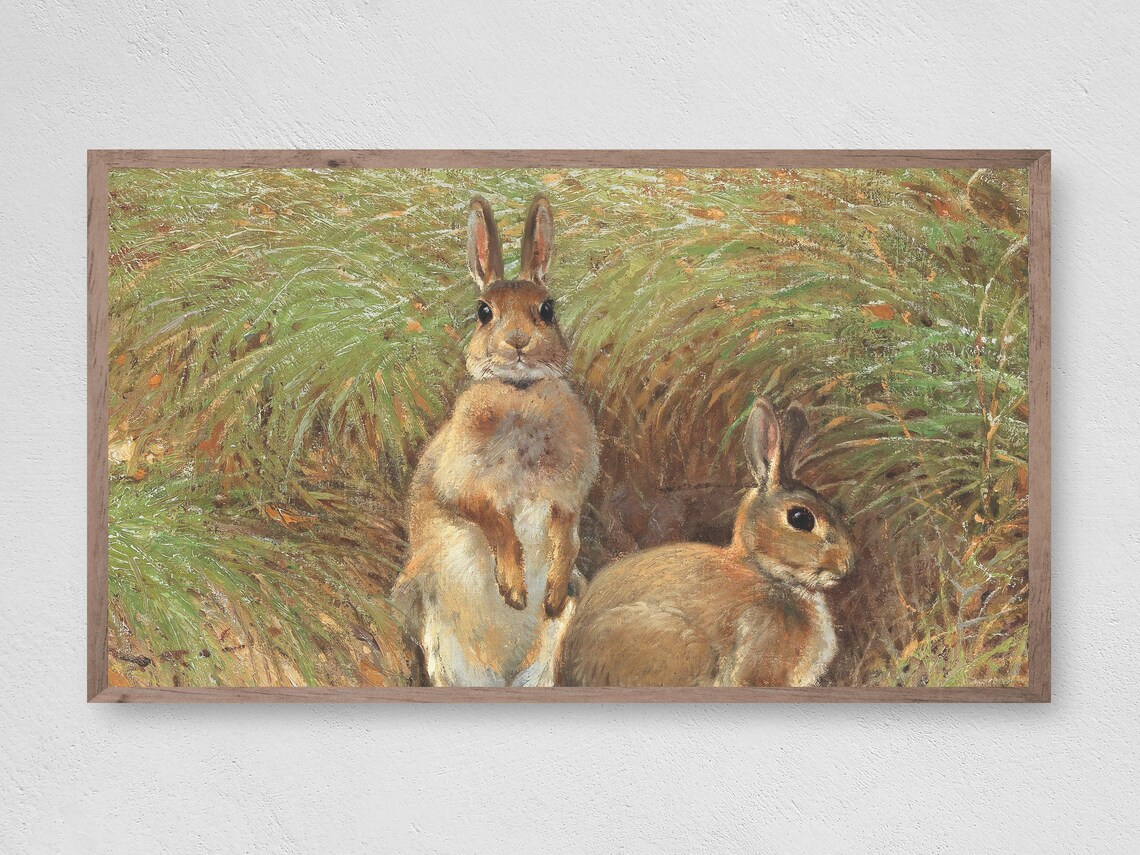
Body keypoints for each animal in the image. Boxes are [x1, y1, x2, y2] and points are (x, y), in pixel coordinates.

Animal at [392, 194, 599, 687]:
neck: (519, 394)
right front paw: (514, 589)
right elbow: (492, 519)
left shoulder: (566, 497)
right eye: (484, 312)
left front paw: (550, 594)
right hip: (437, 633)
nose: (518, 342)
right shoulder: (457, 483)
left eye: (548, 309)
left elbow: (567, 534)